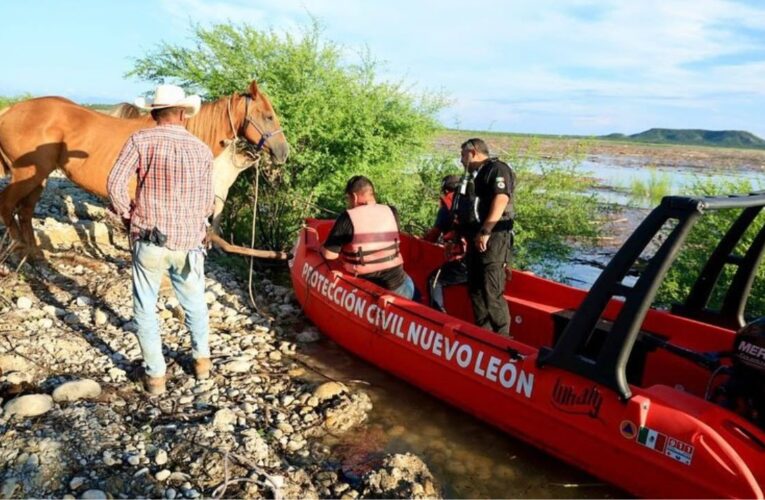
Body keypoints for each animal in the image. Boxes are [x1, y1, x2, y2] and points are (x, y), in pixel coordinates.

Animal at [0, 81, 290, 250]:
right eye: (268, 116)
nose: (284, 152)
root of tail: (10, 111)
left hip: (39, 178)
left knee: (25, 212)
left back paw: (33, 255)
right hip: (27, 176)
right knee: (8, 204)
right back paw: (18, 246)